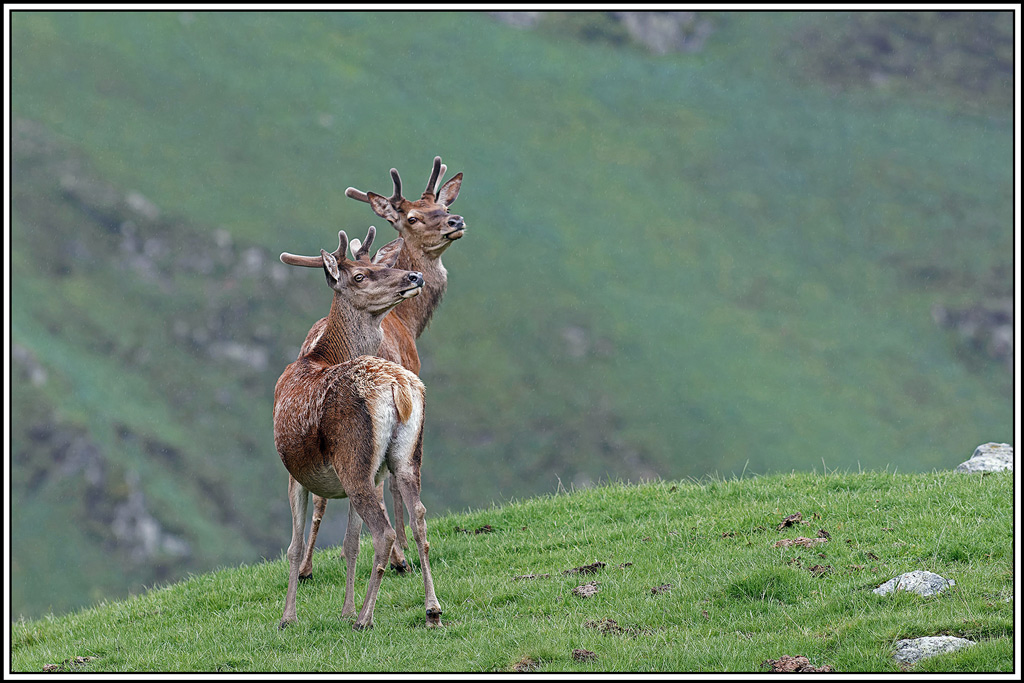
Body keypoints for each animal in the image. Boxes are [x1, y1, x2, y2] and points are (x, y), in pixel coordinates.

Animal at [273, 226, 441, 631]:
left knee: (384, 532)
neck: (317, 357)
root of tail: (397, 388)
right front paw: (344, 608)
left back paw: (365, 618)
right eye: (362, 275)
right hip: (403, 458)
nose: (414, 277)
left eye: (378, 267)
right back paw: (431, 607)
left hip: (355, 461)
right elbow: (350, 543)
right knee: (419, 518)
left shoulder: (294, 473)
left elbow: (294, 546)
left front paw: (288, 618)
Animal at [293, 156, 464, 581]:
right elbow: (394, 484)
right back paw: (397, 555)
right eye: (415, 217)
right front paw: (404, 549)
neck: (410, 321)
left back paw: (306, 565)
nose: (456, 221)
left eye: (444, 207)